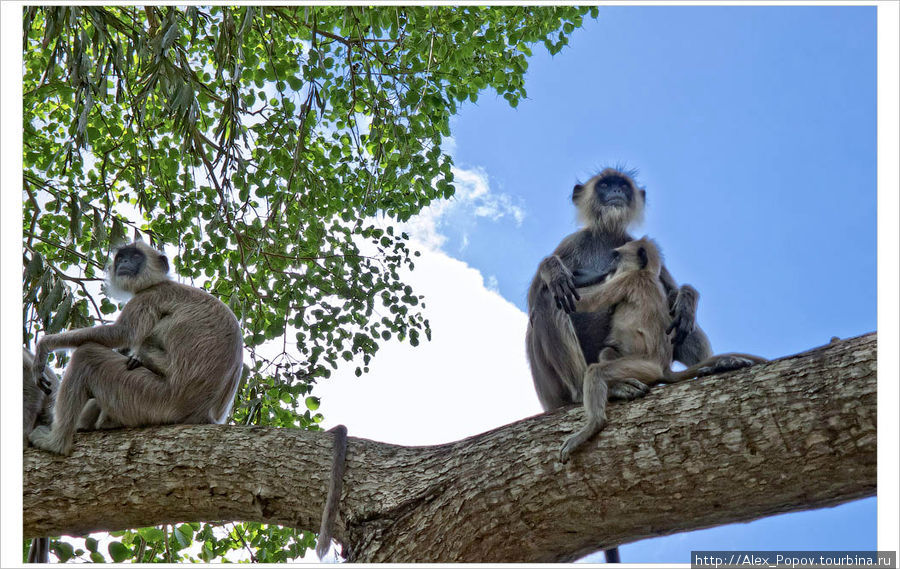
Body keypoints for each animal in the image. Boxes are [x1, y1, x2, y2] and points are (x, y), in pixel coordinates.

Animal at [528, 166, 712, 560]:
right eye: (606, 185)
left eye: (622, 187)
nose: (615, 192)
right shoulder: (573, 243)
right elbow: (540, 289)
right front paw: (553, 270)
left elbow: (671, 293)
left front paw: (688, 297)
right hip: (551, 386)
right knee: (549, 299)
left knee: (680, 323)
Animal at [564, 237, 768, 464]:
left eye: (616, 256)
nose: (609, 267)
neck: (646, 274)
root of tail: (664, 368)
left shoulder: (628, 279)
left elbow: (584, 302)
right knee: (607, 352)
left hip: (644, 366)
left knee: (597, 371)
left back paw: (594, 424)